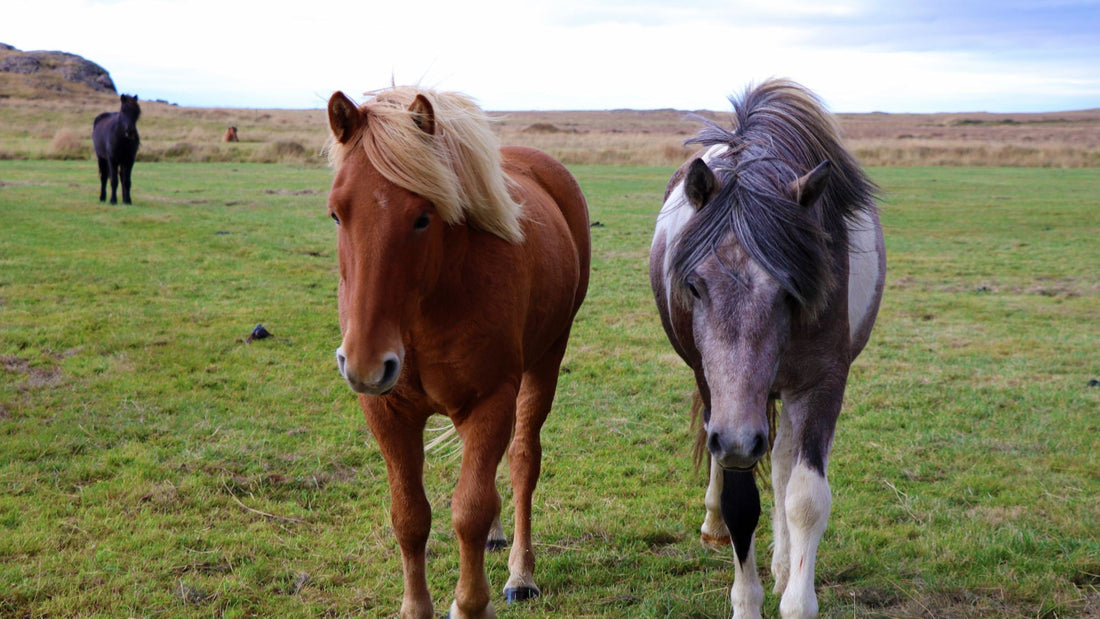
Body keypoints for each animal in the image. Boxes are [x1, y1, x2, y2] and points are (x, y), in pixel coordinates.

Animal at [325, 86, 590, 619]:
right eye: (337, 213)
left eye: (422, 217)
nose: (365, 363)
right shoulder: (386, 412)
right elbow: (409, 516)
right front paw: (414, 607)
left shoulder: (490, 400)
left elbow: (470, 509)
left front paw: (470, 604)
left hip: (545, 361)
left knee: (522, 461)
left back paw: (520, 574)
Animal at [649, 79, 885, 618]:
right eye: (693, 286)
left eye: (790, 291)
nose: (739, 438)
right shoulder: (720, 400)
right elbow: (740, 503)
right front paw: (746, 600)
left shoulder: (822, 384)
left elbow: (805, 497)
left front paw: (794, 593)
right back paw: (717, 527)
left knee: (780, 461)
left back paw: (781, 564)